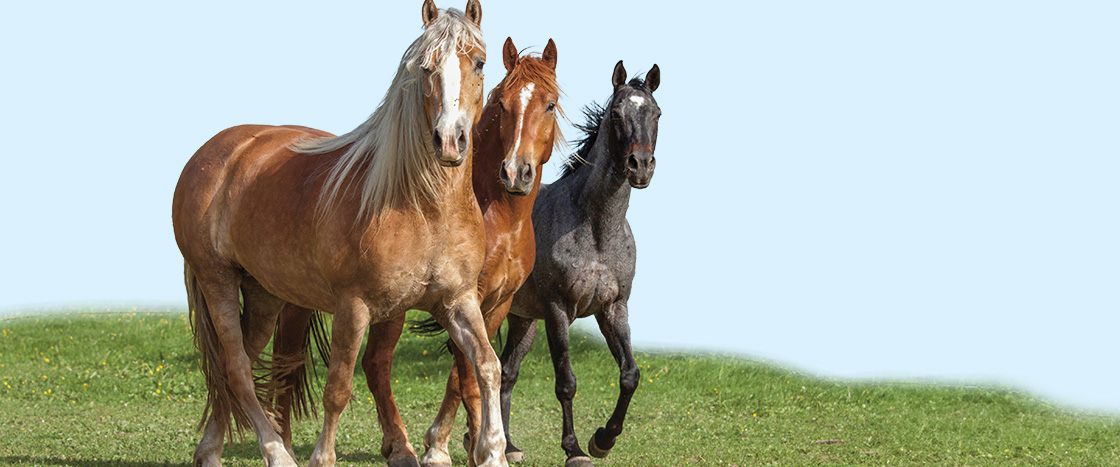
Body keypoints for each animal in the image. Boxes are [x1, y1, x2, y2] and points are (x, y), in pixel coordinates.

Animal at [170, 1, 508, 463]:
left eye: (479, 62)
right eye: (425, 67)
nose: (449, 141)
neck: (423, 207)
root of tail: (212, 153)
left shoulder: (458, 301)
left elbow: (487, 365)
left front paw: (493, 450)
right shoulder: (354, 307)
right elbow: (338, 389)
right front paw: (321, 458)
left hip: (262, 293)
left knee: (236, 363)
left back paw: (209, 451)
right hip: (216, 279)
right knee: (237, 369)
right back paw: (277, 452)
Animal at [269, 38, 564, 465]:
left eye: (550, 104)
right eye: (502, 103)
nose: (515, 172)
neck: (500, 217)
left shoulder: (496, 303)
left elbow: (473, 371)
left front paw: (472, 443)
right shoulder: (466, 297)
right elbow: (464, 376)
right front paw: (450, 445)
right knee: (306, 361)